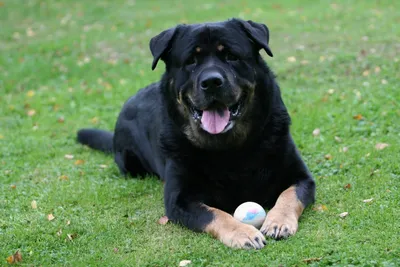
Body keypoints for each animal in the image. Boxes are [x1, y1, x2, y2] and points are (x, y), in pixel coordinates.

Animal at [76, 17, 316, 250]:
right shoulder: (179, 199)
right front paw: (242, 232)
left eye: (231, 56)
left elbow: (289, 195)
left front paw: (278, 221)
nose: (211, 82)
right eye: (191, 61)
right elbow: (215, 214)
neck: (230, 149)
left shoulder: (301, 177)